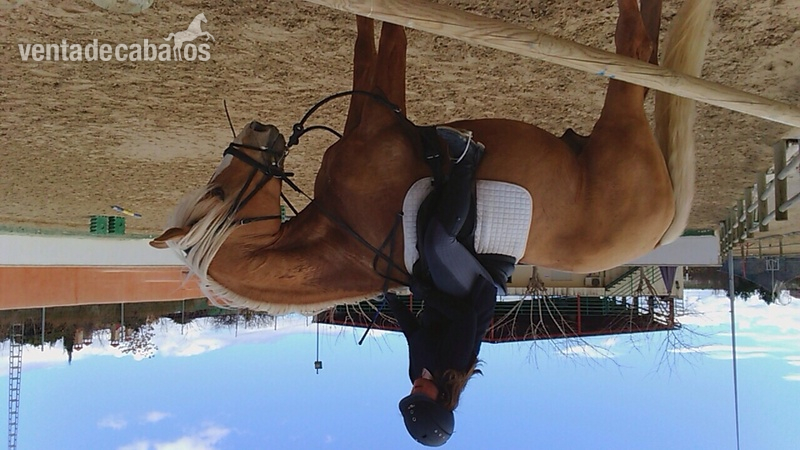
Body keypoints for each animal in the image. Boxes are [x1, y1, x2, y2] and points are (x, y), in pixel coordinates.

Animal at [151, 0, 715, 315]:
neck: (341, 231)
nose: (258, 129)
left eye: (213, 186)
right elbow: (383, 44)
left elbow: (370, 44)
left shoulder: (374, 118)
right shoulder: (380, 124)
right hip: (622, 121)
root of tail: (661, 234)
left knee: (642, 47)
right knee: (636, 47)